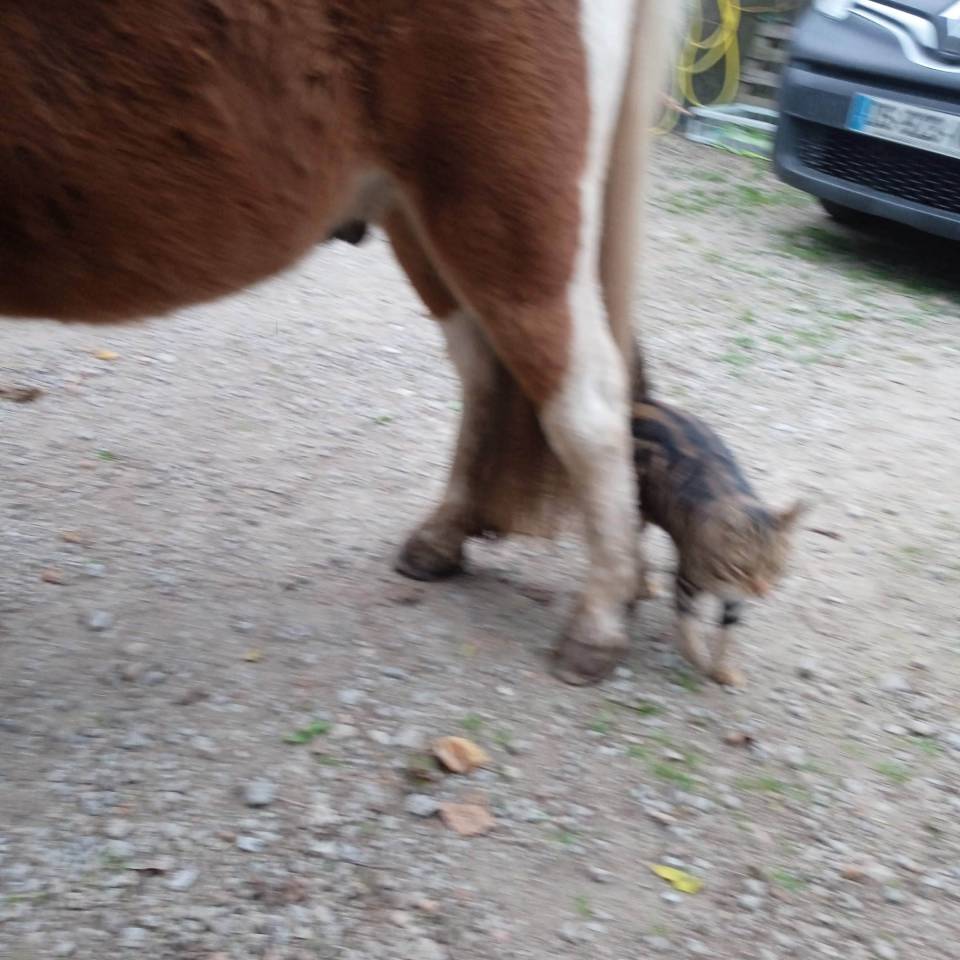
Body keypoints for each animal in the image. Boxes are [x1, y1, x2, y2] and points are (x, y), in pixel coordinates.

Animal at [0, 1, 682, 684]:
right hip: (418, 218)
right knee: (485, 371)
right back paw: (444, 539)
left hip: (511, 225)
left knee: (587, 410)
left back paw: (598, 622)